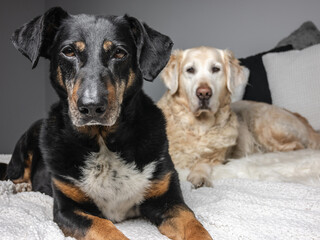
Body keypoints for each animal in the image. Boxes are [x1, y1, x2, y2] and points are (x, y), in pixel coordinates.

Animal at [5, 6, 212, 239]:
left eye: (119, 53)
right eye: (69, 51)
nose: (91, 106)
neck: (102, 140)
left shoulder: (169, 200)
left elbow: (194, 225)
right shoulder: (67, 209)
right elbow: (104, 227)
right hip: (28, 138)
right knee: (14, 174)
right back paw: (21, 186)